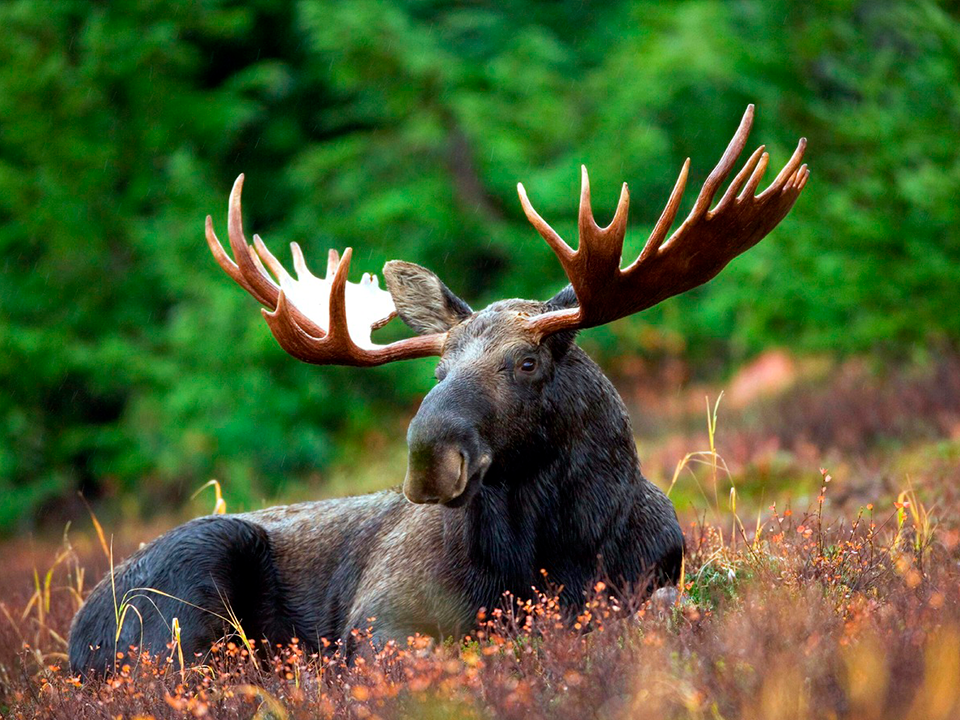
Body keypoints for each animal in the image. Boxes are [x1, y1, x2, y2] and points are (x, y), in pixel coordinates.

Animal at [67, 107, 808, 676]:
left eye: (527, 362)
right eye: (437, 371)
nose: (429, 457)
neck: (557, 551)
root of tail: (75, 638)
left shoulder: (655, 578)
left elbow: (665, 608)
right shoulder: (378, 619)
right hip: (188, 587)